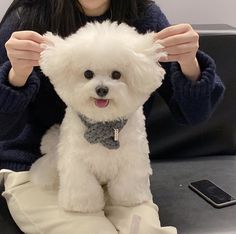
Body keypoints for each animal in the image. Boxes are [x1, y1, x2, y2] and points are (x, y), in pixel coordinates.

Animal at [30, 21, 166, 213]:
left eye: (116, 74)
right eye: (88, 74)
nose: (102, 89)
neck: (103, 123)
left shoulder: (133, 159)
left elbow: (127, 183)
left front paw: (130, 199)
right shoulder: (76, 162)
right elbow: (83, 187)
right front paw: (81, 206)